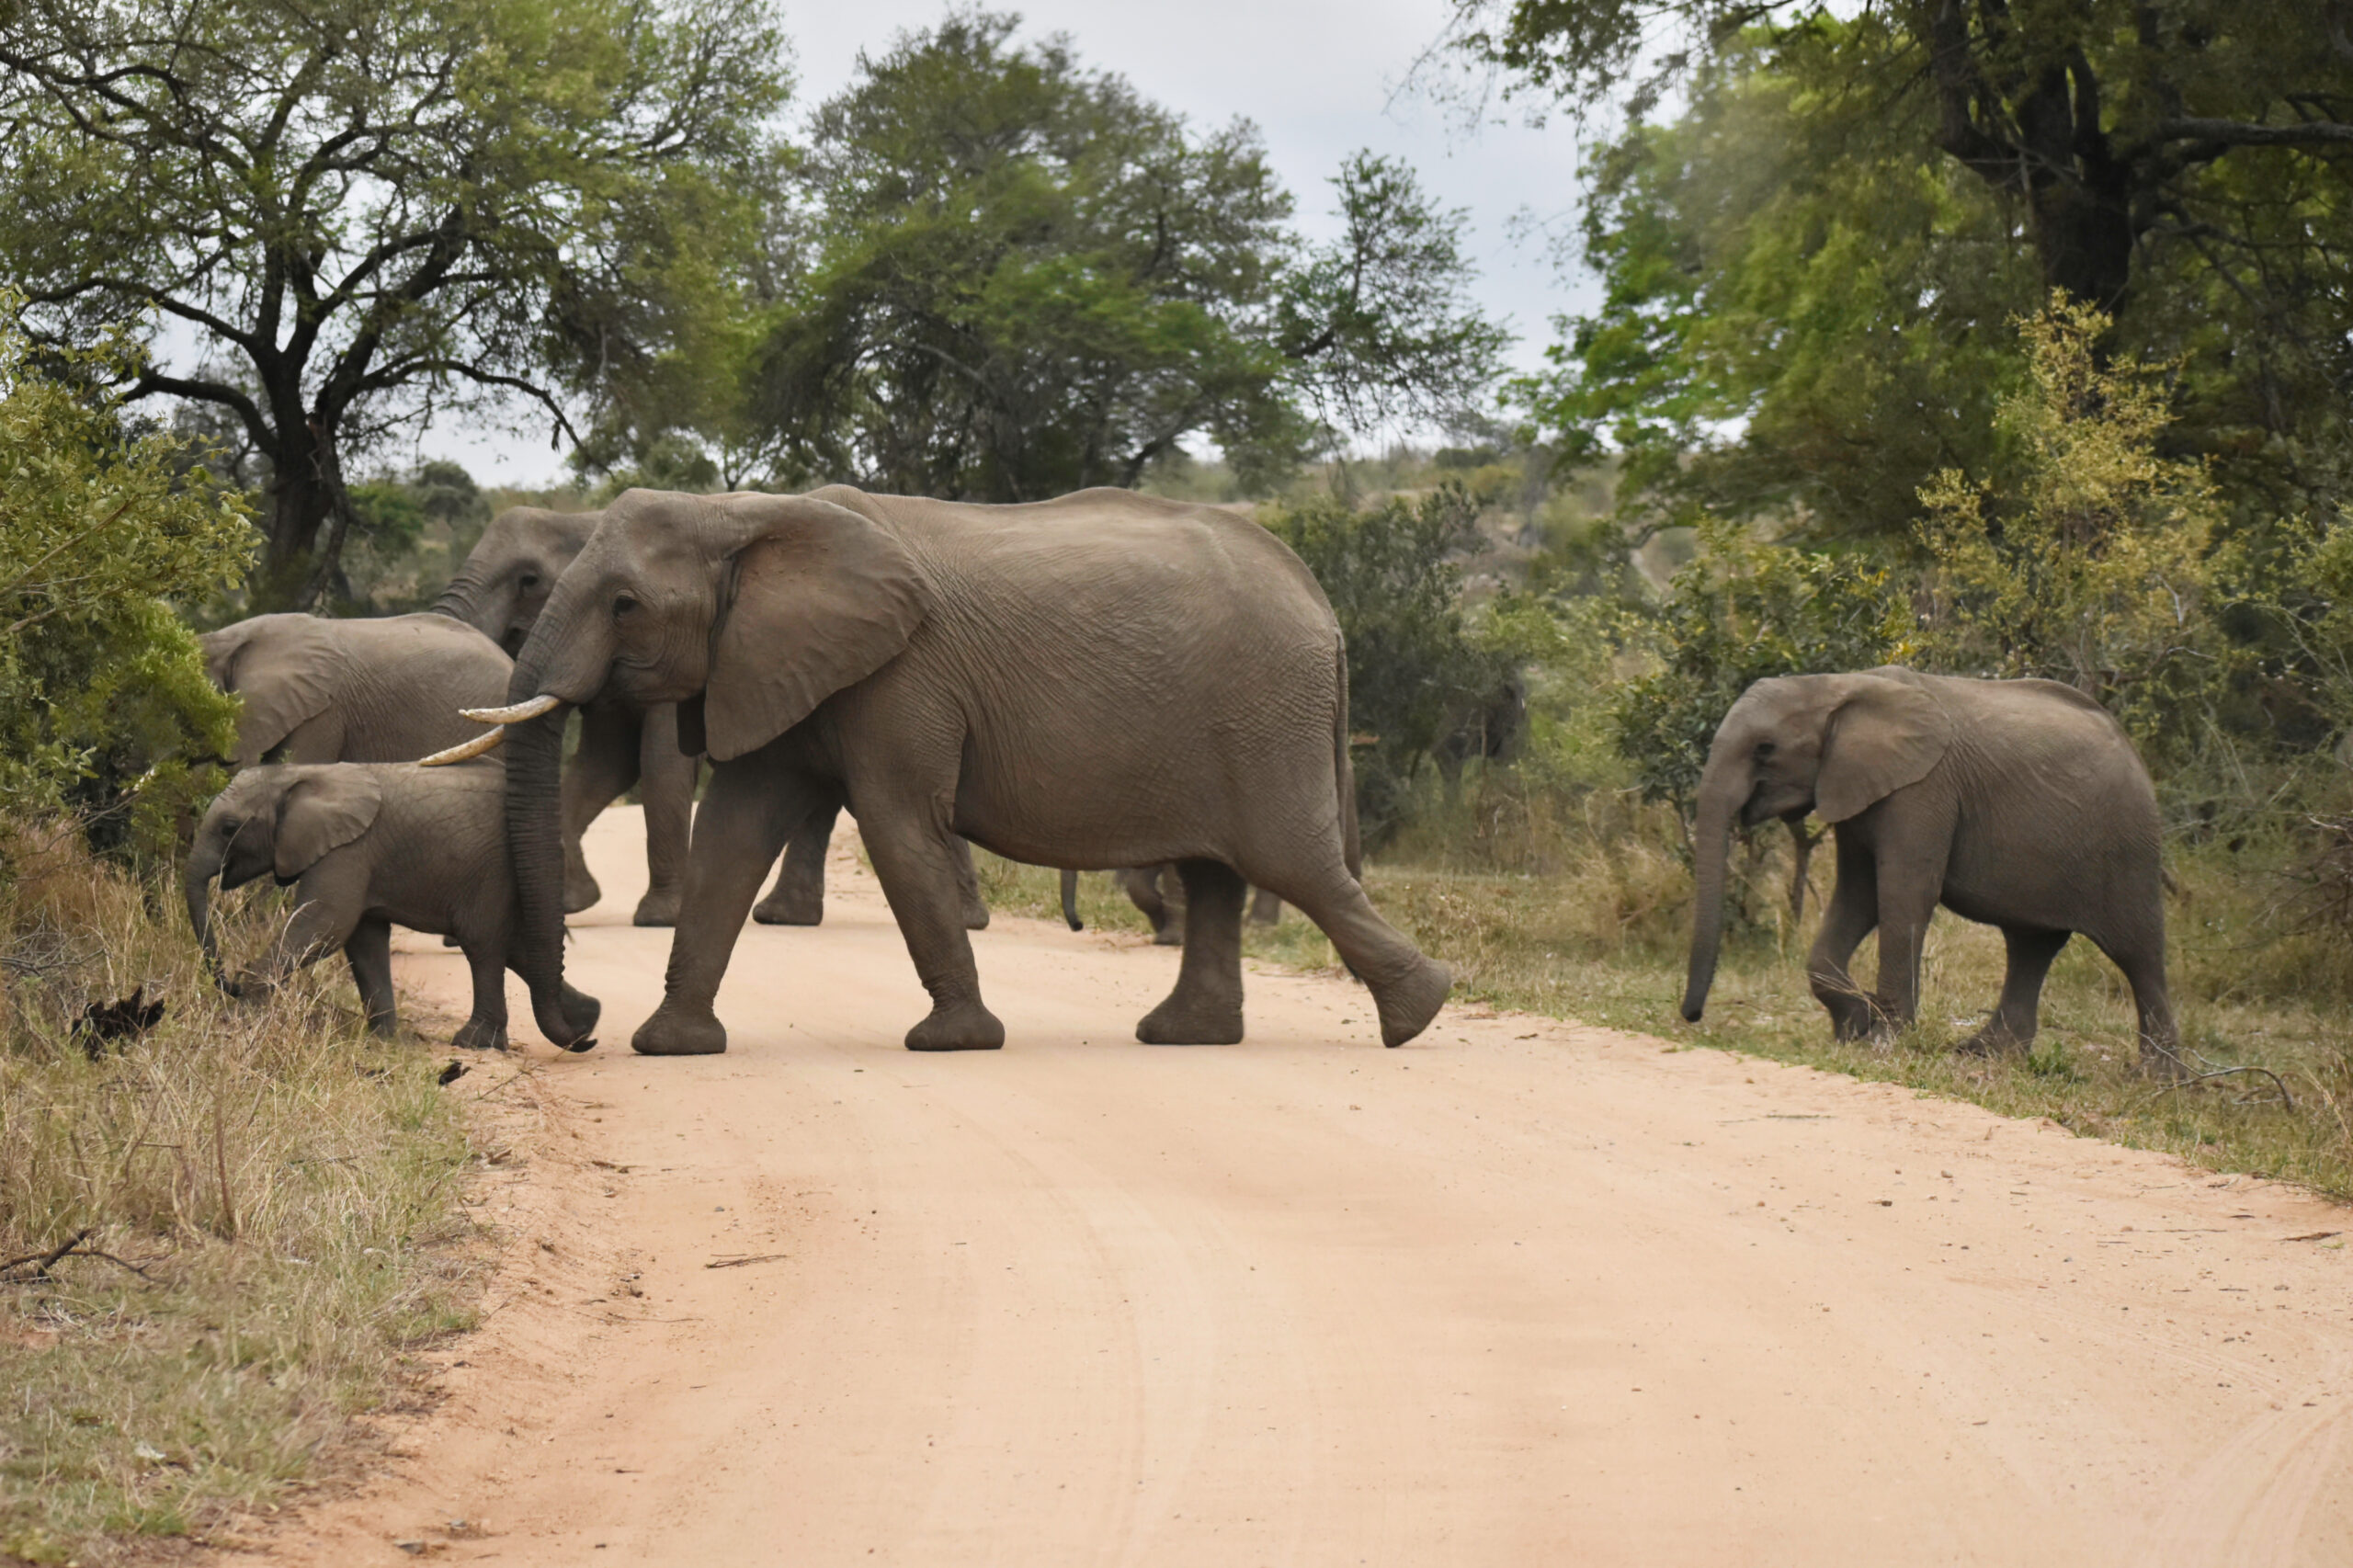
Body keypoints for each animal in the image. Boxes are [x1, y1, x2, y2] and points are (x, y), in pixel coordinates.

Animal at [188, 757, 602, 1050]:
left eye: (229, 828)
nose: (229, 982)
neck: (298, 774)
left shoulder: (349, 850)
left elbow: (324, 925)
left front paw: (242, 1013)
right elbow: (363, 940)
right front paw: (382, 1041)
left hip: (492, 868)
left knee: (481, 942)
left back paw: (473, 1043)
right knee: (516, 947)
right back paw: (587, 1025)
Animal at [439, 504, 983, 927]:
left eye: (528, 581)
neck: (580, 519)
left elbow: (658, 766)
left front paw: (657, 919)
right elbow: (603, 765)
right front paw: (575, 903)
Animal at [1684, 664, 2174, 1068]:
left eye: (1765, 749)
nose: (1693, 1015)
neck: (1837, 685)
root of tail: (2135, 753)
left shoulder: (1923, 790)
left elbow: (1904, 894)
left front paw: (1881, 1042)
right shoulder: (1855, 788)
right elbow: (1859, 896)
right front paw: (1854, 1026)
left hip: (2127, 847)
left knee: (2139, 954)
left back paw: (2157, 1079)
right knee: (2030, 945)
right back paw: (1984, 1054)